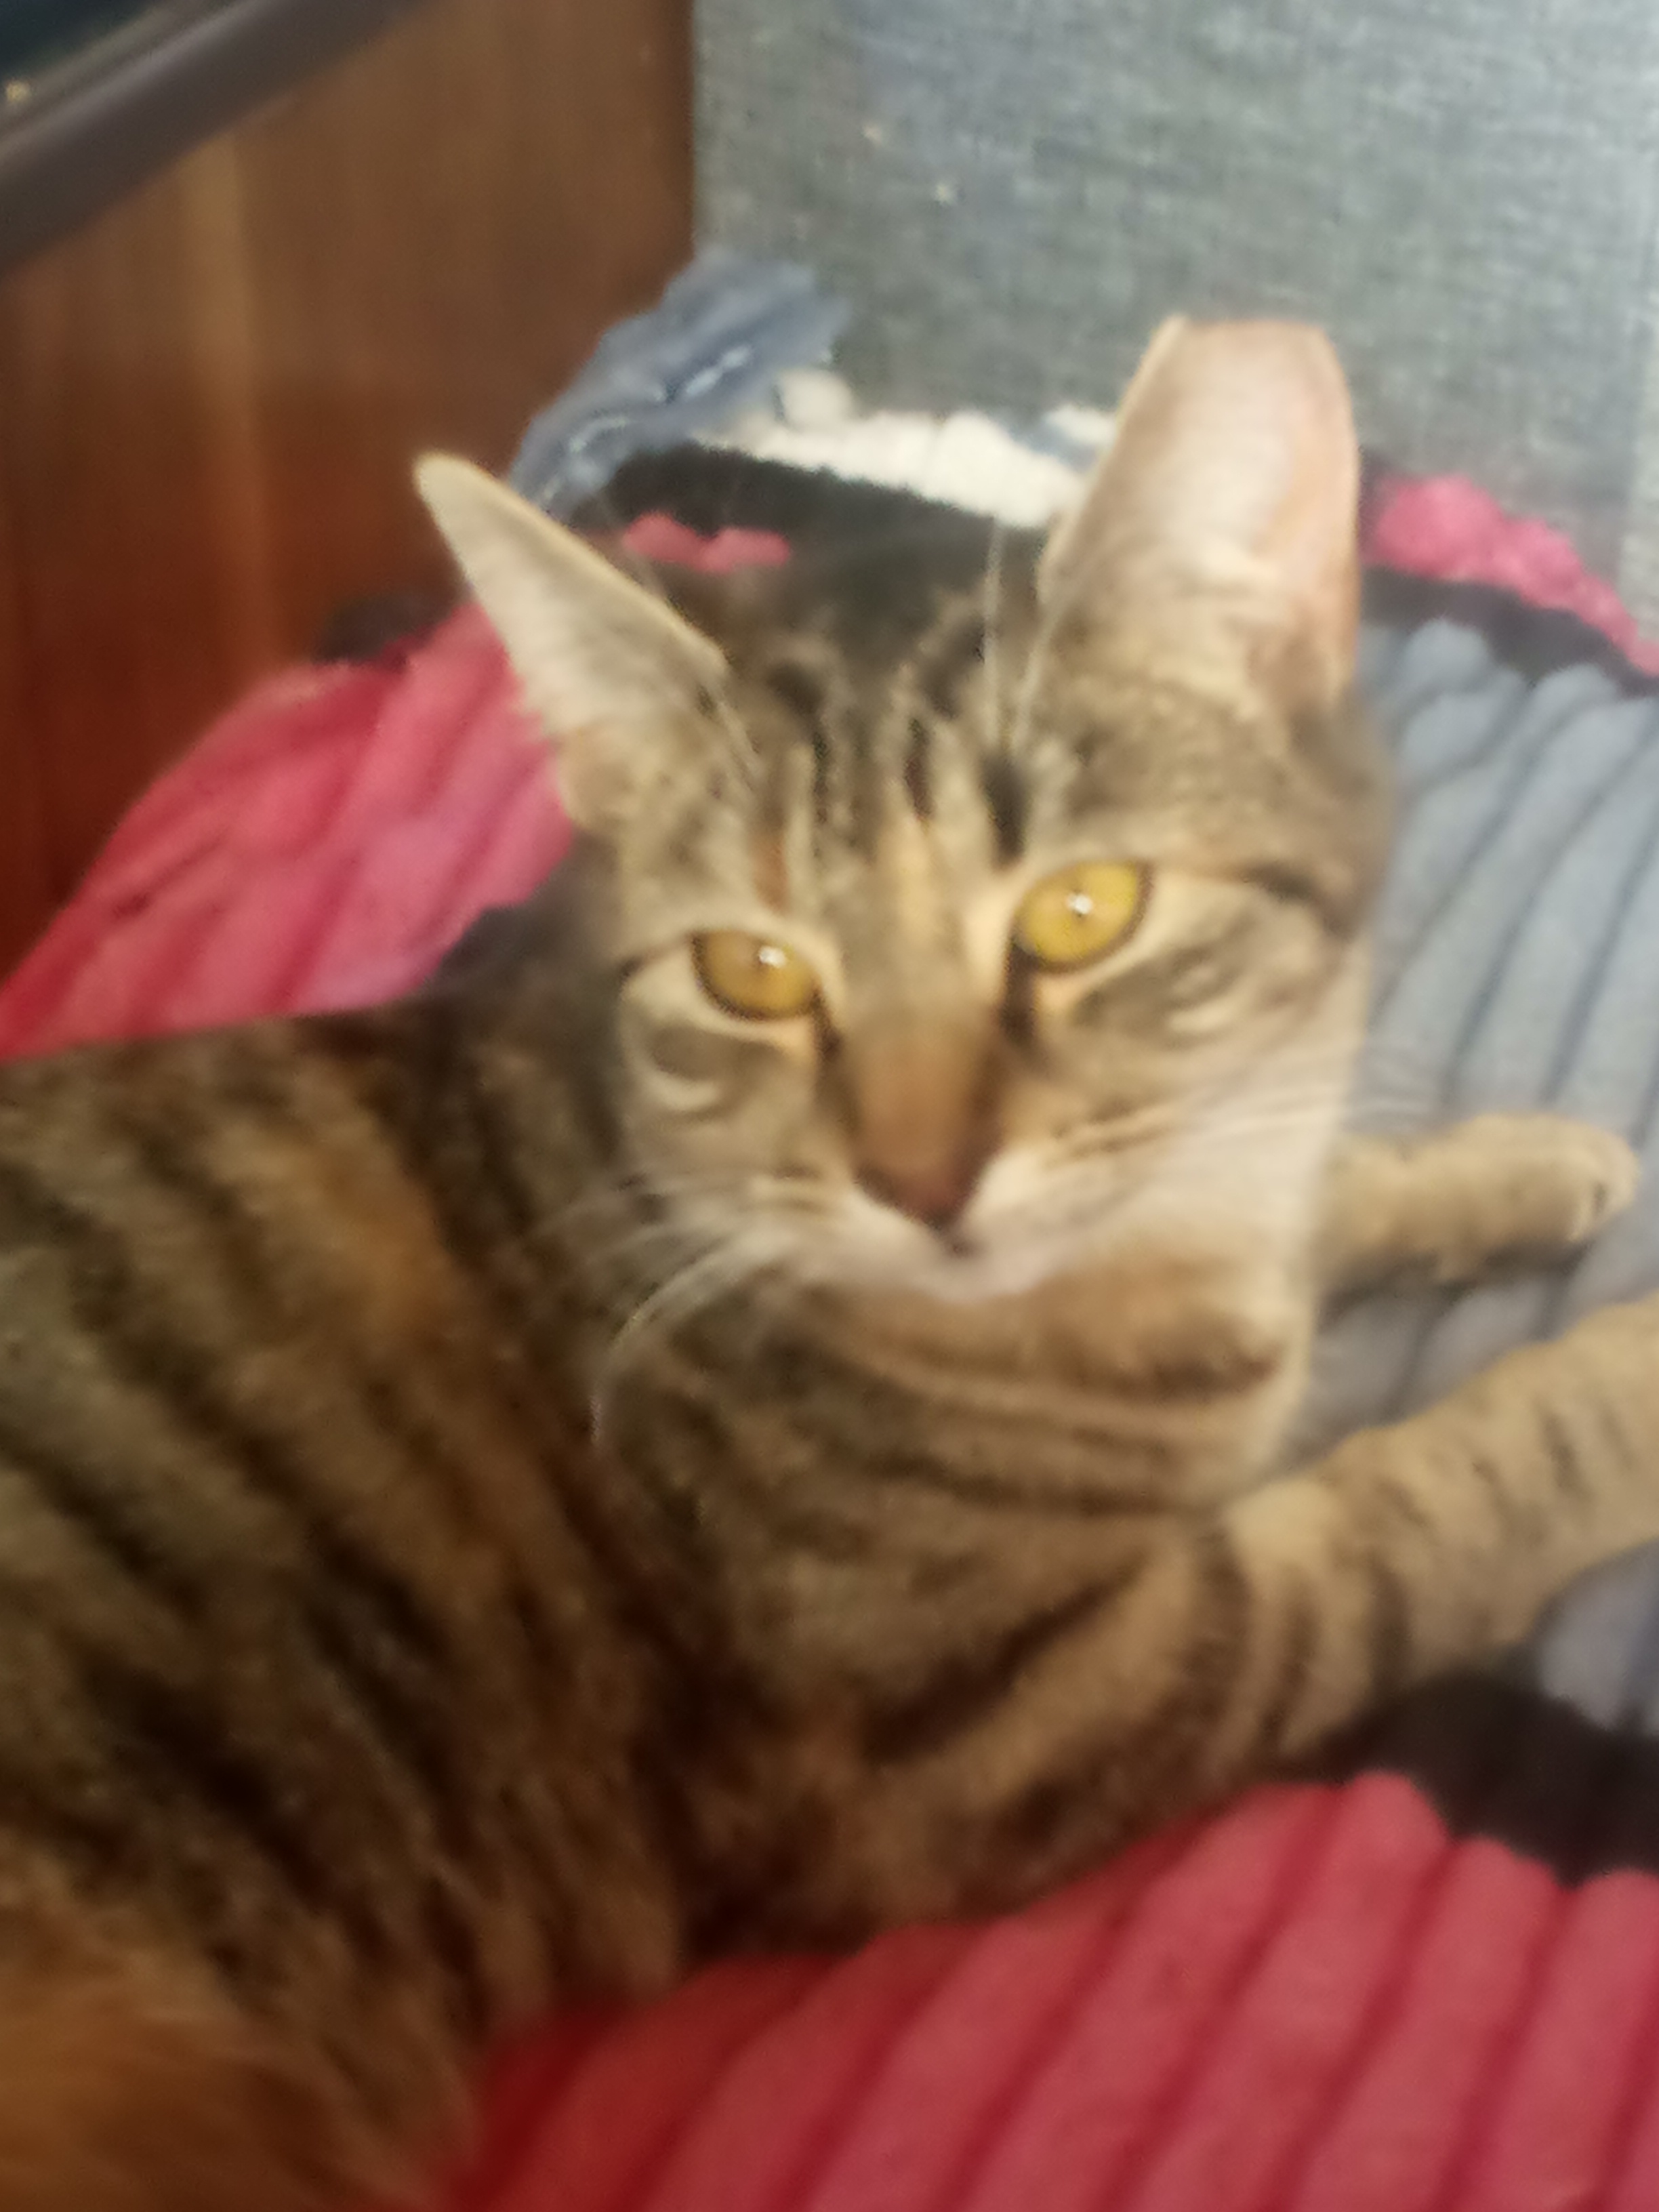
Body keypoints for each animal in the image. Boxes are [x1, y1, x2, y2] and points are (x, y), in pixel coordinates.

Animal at [0, 316, 1656, 2212]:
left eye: (1080, 912)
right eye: (752, 971)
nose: (916, 1179)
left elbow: (1329, 1192)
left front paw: (1496, 1163)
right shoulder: (1011, 1726)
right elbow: (1426, 1499)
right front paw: (1619, 1373)